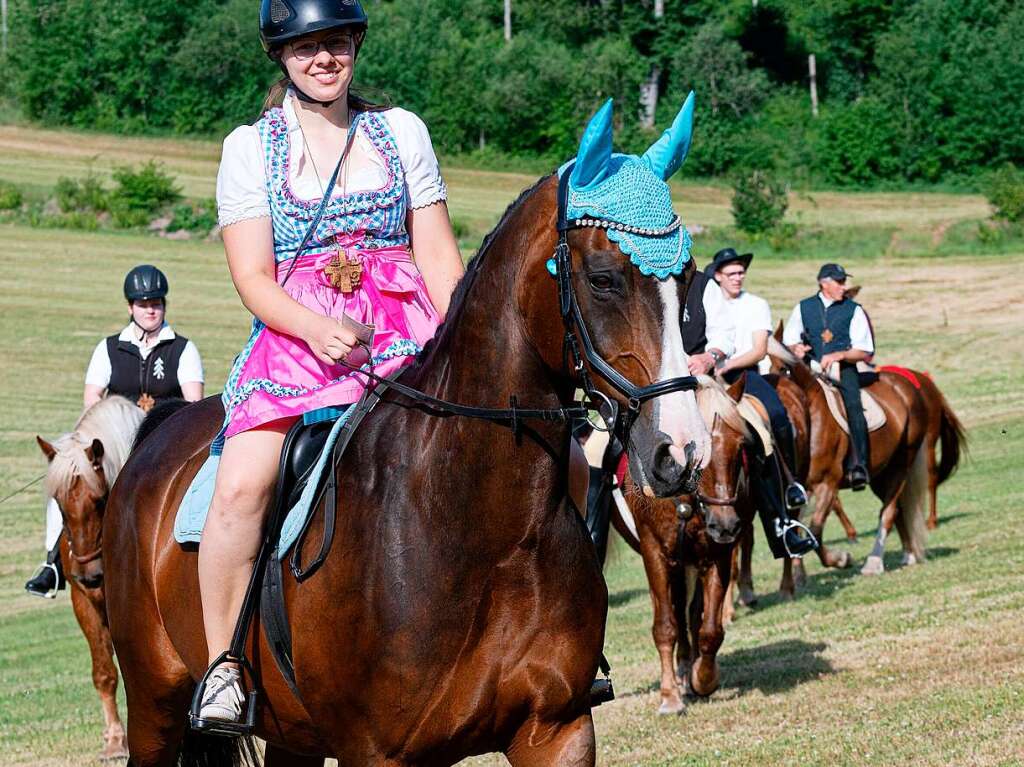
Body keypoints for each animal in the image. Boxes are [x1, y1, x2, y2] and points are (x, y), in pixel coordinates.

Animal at [35, 395, 146, 761]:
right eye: (59, 502)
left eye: (99, 500)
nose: (91, 575)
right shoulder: (83, 601)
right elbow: (104, 672)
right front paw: (114, 740)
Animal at [103, 98, 712, 761]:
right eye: (602, 279)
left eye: (687, 278)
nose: (681, 451)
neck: (477, 522)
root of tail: (158, 433)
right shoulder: (380, 752)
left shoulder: (558, 729)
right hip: (155, 709)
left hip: (294, 734)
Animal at [606, 374, 753, 712]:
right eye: (700, 454)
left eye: (740, 445)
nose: (726, 525)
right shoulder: (655, 554)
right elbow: (665, 626)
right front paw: (669, 696)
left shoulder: (716, 555)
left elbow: (709, 629)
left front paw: (703, 678)